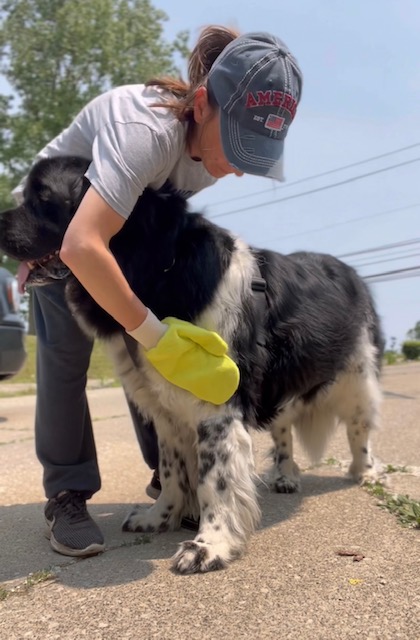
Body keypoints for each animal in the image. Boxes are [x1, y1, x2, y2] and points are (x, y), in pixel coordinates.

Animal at [0, 156, 386, 576]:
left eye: (42, 198)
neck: (159, 267)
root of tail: (350, 271)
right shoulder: (165, 410)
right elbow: (171, 469)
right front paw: (158, 517)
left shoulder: (218, 409)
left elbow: (213, 480)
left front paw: (208, 545)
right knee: (283, 429)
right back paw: (286, 475)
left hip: (357, 375)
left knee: (359, 429)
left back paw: (364, 472)